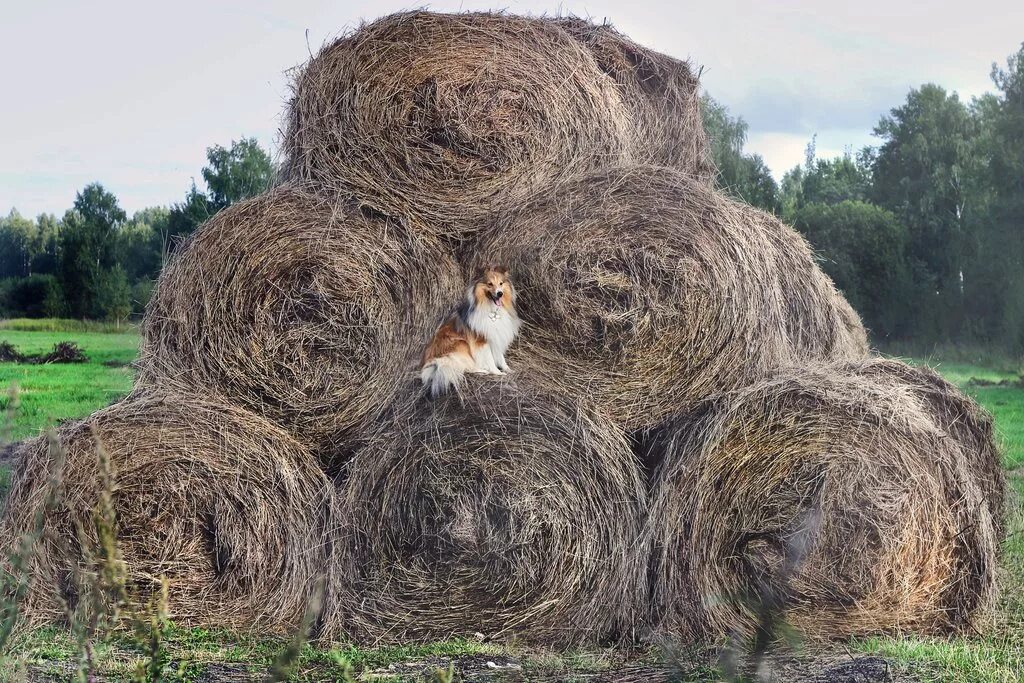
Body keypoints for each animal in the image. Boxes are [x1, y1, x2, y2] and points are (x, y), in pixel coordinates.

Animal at [421, 266, 524, 397]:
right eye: (490, 284)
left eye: (501, 283)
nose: (499, 293)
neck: (492, 311)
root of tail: (428, 363)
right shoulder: (482, 341)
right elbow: (490, 359)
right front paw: (497, 372)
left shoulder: (496, 337)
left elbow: (501, 357)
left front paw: (507, 369)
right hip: (460, 344)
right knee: (465, 366)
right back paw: (482, 370)